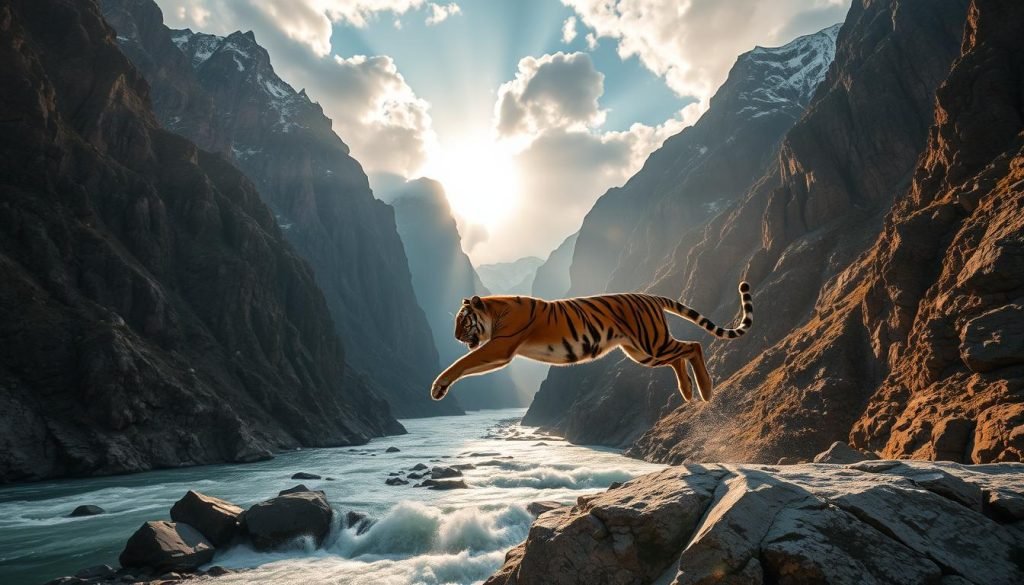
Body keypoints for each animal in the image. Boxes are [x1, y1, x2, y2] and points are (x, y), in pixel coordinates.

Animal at [430, 282, 753, 403]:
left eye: (463, 320)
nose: (455, 336)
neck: (495, 312)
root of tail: (650, 296)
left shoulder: (501, 346)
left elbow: (464, 362)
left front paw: (437, 386)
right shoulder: (499, 349)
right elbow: (468, 363)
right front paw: (441, 388)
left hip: (651, 343)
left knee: (693, 346)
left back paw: (706, 391)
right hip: (642, 351)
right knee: (680, 355)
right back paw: (688, 392)